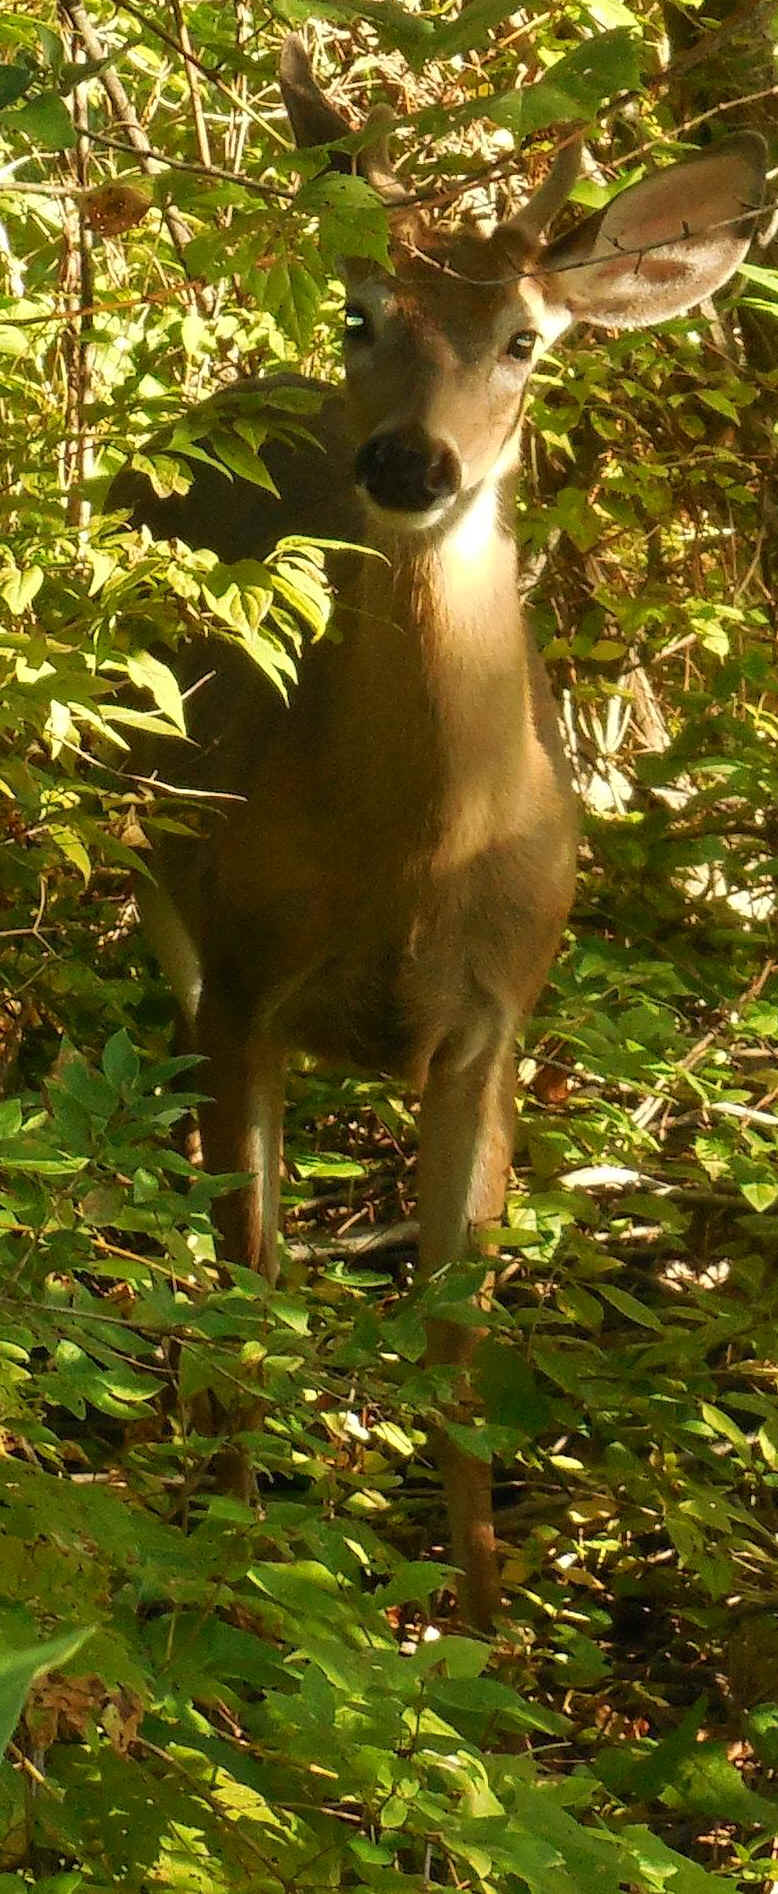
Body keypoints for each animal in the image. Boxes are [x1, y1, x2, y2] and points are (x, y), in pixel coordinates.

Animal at [115, 36, 765, 1629]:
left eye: (525, 340)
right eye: (362, 314)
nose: (410, 465)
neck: (414, 862)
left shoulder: (497, 1016)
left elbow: (455, 1321)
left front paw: (478, 1625)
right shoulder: (251, 983)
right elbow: (252, 1263)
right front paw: (238, 1572)